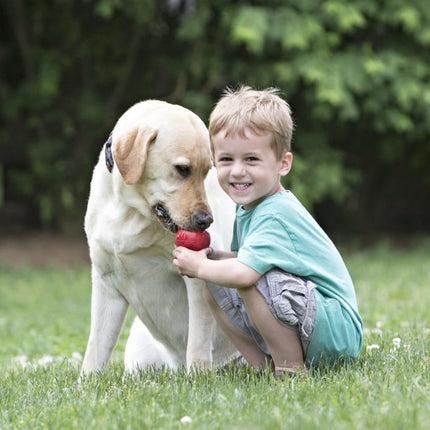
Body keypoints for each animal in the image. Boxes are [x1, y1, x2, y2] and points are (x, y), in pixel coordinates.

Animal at [81, 100, 239, 372]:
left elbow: (197, 345)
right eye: (182, 169)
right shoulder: (105, 281)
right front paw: (86, 381)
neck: (130, 210)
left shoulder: (197, 280)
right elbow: (95, 351)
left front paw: (199, 377)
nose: (206, 220)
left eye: (207, 171)